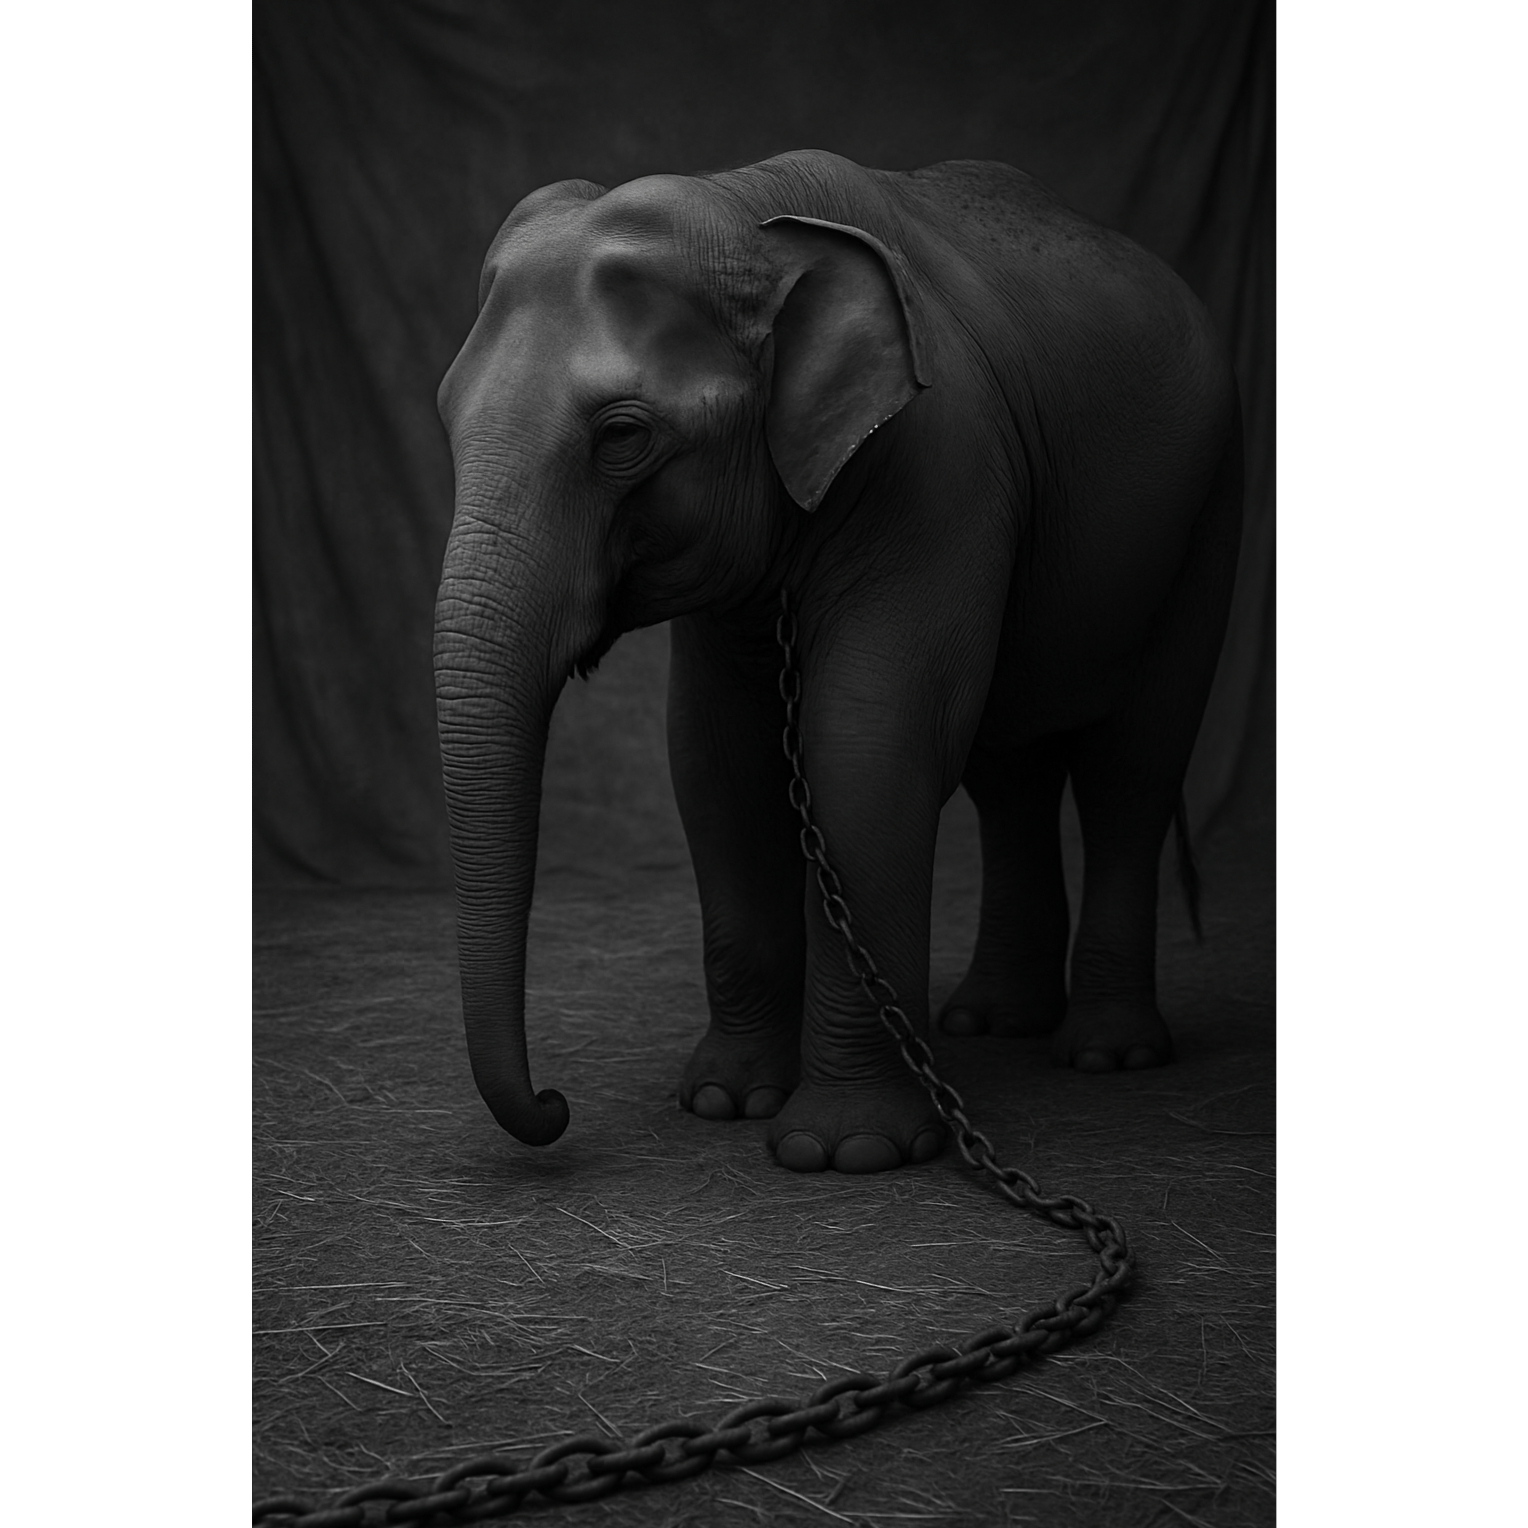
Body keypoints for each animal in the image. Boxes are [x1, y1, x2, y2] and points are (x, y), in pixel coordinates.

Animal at [434, 149, 1241, 1174]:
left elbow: (865, 747)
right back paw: (992, 1023)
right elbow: (716, 760)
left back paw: (1106, 1053)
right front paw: (722, 1101)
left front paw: (843, 1151)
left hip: (1209, 508)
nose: (555, 1102)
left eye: (622, 436)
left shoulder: (937, 464)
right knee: (1010, 772)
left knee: (1133, 766)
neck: (751, 214)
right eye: (445, 418)